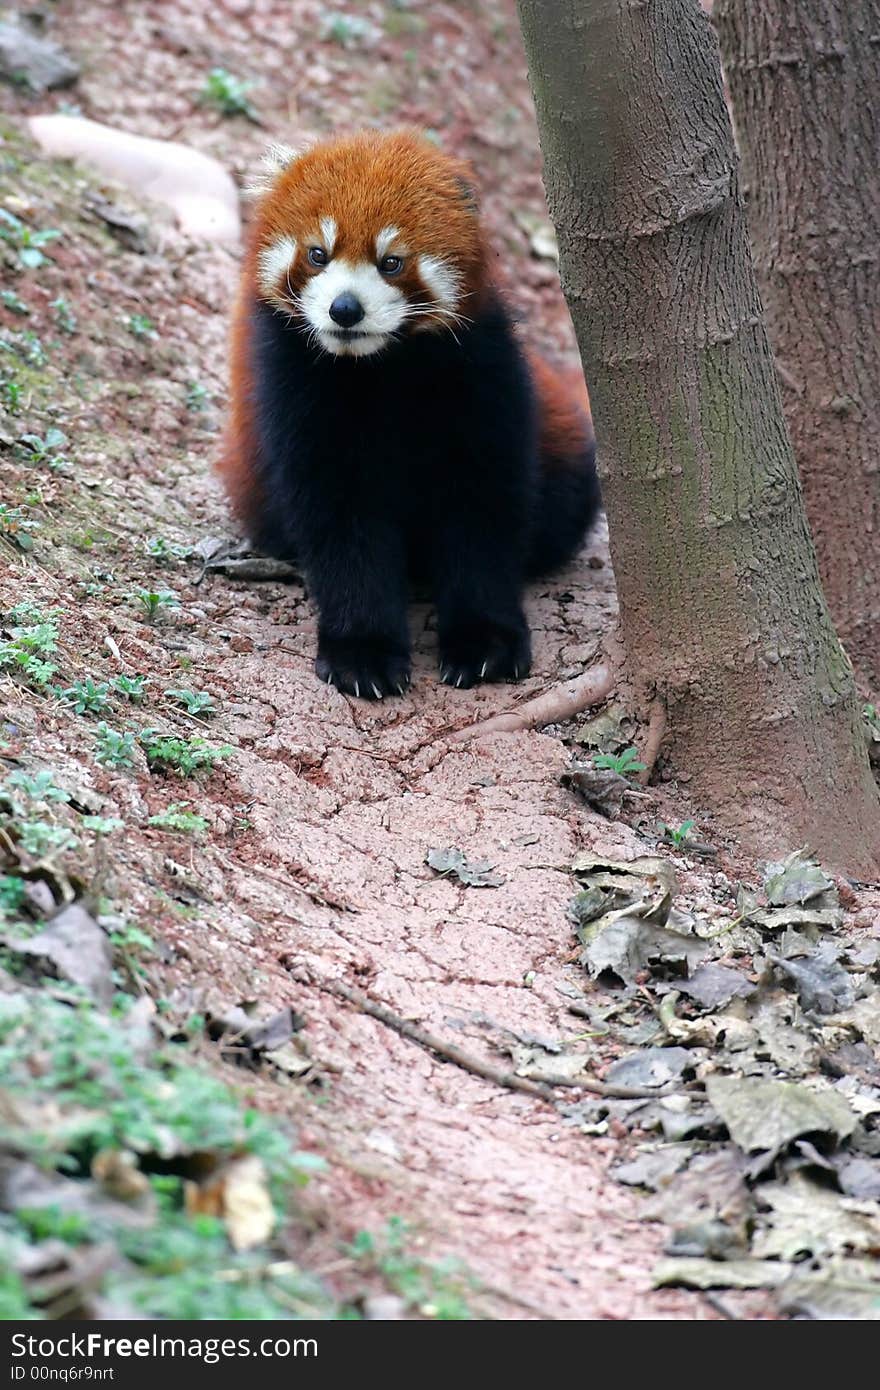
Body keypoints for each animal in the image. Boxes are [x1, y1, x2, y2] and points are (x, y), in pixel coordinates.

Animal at [216, 130, 600, 700]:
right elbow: (343, 529)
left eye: (391, 262)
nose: (345, 309)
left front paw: (485, 641)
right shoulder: (295, 394)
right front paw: (362, 652)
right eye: (317, 254)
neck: (378, 369)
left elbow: (483, 516)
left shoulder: (482, 381)